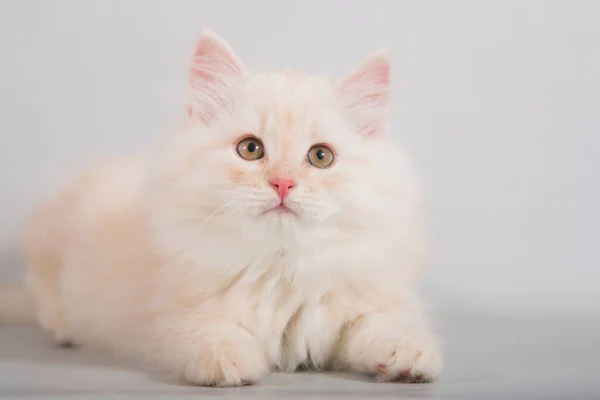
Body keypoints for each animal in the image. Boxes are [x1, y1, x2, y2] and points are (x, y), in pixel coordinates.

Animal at [2, 29, 440, 386]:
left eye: (320, 157)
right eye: (250, 149)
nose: (283, 183)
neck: (281, 265)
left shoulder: (368, 298)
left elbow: (381, 324)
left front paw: (409, 356)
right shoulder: (167, 313)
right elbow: (208, 329)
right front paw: (229, 363)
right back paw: (63, 329)